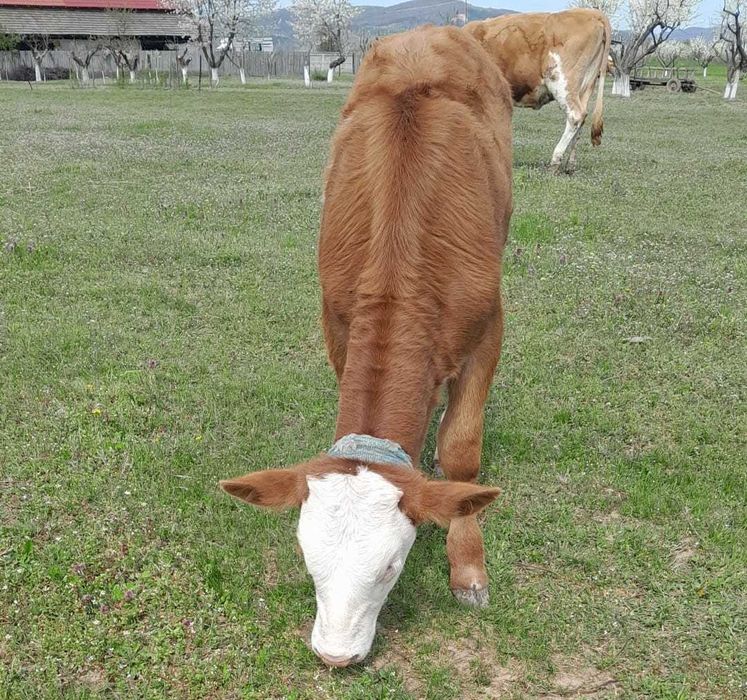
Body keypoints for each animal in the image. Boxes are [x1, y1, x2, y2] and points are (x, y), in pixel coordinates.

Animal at [220, 25, 513, 667]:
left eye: (390, 568)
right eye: (308, 560)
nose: (335, 654)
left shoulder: (489, 327)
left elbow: (462, 447)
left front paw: (468, 566)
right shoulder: (336, 319)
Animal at [466, 8, 612, 174]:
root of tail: (591, 12)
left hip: (562, 81)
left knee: (576, 115)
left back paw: (555, 162)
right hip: (586, 87)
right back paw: (570, 165)